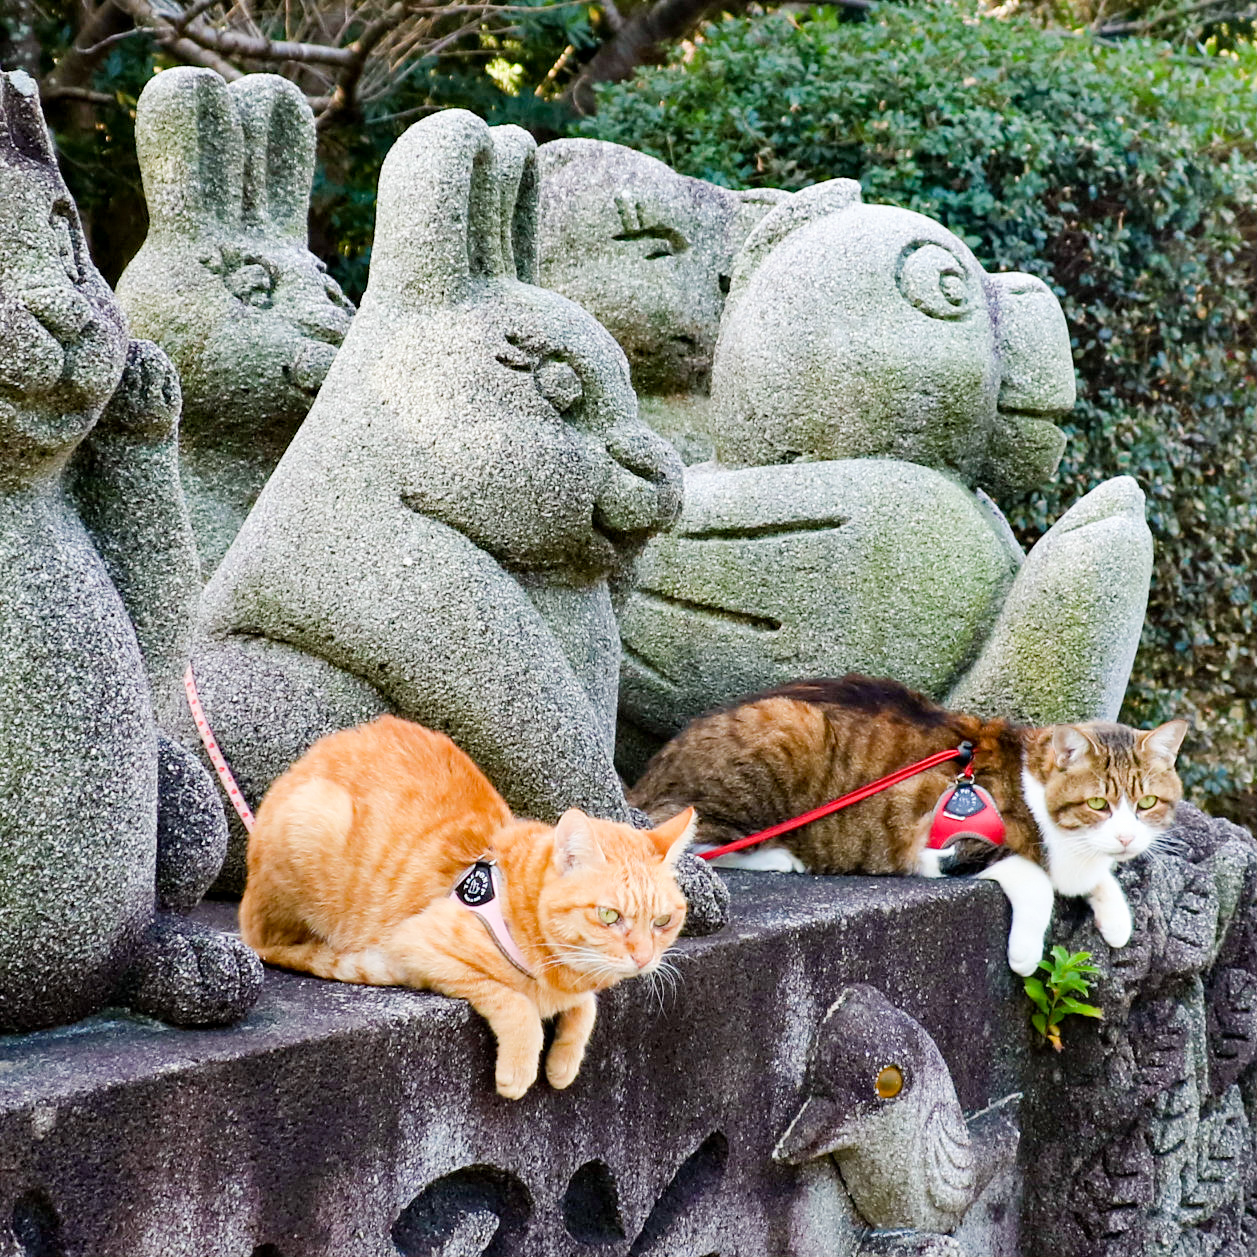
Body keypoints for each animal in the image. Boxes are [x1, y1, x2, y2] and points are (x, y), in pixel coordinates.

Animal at [242, 719, 698, 1101]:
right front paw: (520, 1068)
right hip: (312, 823)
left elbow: (586, 1008)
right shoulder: (418, 944)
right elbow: (515, 1001)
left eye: (663, 921)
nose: (643, 958)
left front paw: (563, 1064)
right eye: (609, 916)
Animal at [633, 678, 1181, 980]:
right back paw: (780, 855)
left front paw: (1116, 918)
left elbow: (1090, 878)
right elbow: (1036, 876)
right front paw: (1026, 952)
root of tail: (647, 777)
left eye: (1147, 803)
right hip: (781, 739)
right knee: (700, 843)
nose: (1127, 837)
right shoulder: (950, 847)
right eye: (1099, 803)